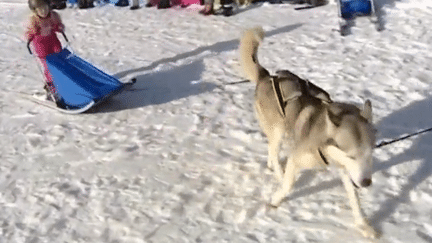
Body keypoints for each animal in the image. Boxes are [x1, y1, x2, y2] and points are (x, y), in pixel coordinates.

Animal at [240, 26, 378, 237]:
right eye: (352, 155)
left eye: (369, 154)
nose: (366, 182)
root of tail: (266, 76)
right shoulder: (297, 159)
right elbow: (288, 184)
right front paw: (275, 201)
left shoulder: (346, 170)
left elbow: (354, 199)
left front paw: (364, 226)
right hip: (279, 130)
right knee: (274, 150)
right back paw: (278, 172)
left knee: (272, 150)